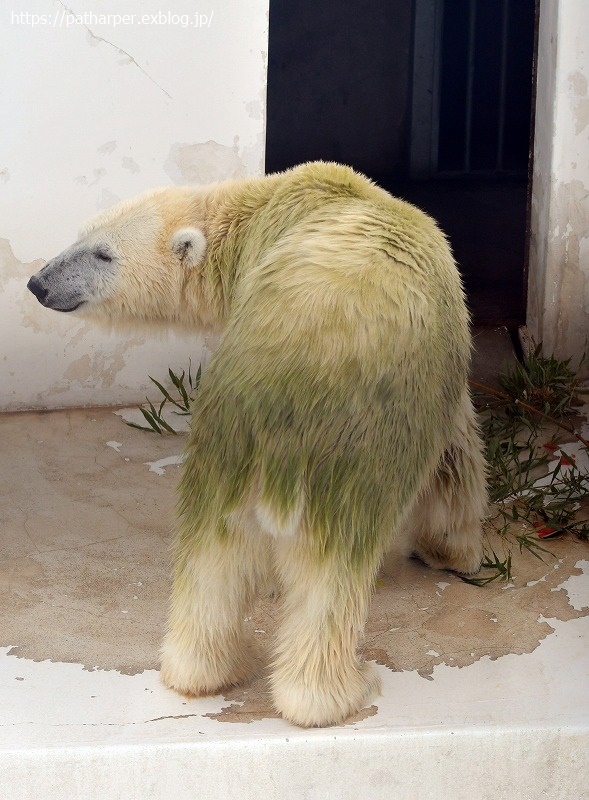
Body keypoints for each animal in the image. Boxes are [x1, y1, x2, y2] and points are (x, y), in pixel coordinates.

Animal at [28, 161, 486, 724]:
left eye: (101, 252)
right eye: (82, 239)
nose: (37, 283)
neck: (258, 213)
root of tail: (283, 407)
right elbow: (455, 456)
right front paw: (453, 552)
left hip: (224, 443)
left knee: (210, 558)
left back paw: (201, 669)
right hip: (352, 456)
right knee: (332, 576)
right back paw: (337, 692)